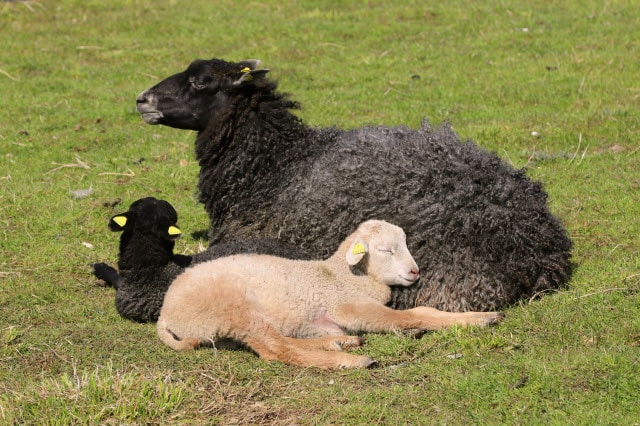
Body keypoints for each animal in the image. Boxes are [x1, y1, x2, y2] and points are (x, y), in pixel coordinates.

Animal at [158, 220, 502, 370]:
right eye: (385, 250)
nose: (415, 272)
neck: (343, 275)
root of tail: (165, 315)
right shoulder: (349, 305)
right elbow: (419, 313)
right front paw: (482, 318)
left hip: (231, 323)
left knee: (276, 340)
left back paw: (341, 343)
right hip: (232, 308)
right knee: (276, 350)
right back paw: (352, 359)